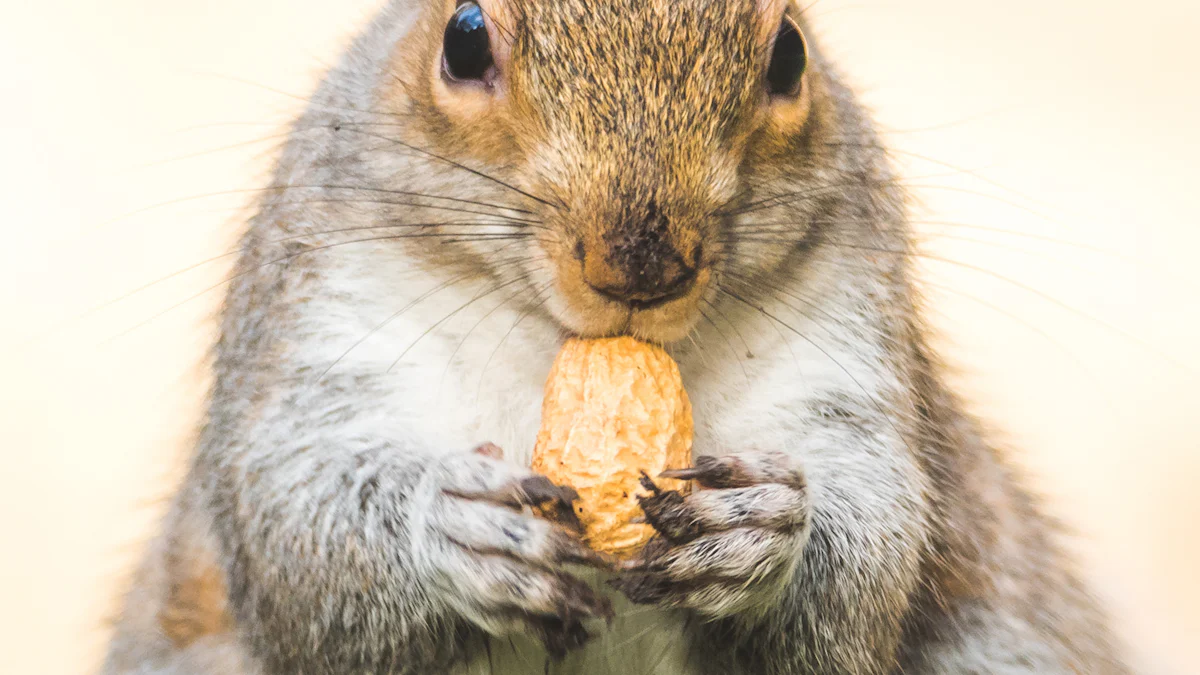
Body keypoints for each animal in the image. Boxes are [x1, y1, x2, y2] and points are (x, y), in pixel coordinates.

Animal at [100, 1, 1123, 672]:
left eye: (790, 55)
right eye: (463, 38)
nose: (643, 263)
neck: (554, 344)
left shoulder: (846, 345)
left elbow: (865, 561)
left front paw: (764, 531)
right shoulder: (313, 324)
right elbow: (293, 534)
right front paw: (452, 526)